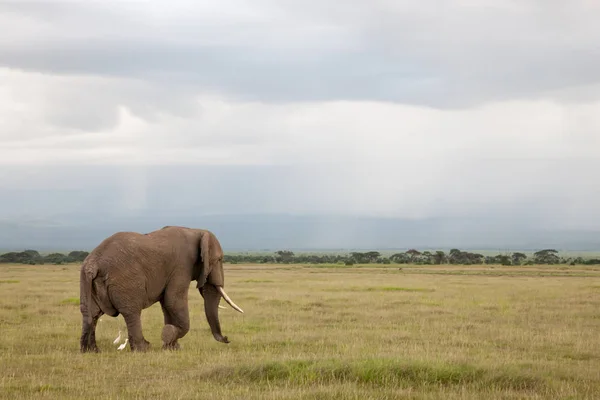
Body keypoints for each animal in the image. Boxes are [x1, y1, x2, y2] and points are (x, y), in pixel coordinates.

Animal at [79, 225, 244, 354]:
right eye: (219, 259)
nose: (227, 339)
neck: (195, 231)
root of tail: (93, 263)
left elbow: (167, 305)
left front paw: (172, 348)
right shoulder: (181, 266)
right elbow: (173, 301)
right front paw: (168, 336)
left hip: (87, 280)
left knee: (91, 312)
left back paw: (90, 351)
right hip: (125, 281)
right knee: (131, 311)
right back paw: (143, 349)